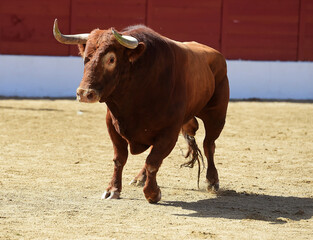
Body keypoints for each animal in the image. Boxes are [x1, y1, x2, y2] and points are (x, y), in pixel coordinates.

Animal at [53, 19, 229, 202]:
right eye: (85, 57)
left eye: (111, 59)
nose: (84, 93)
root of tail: (217, 55)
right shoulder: (113, 125)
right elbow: (120, 159)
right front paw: (113, 189)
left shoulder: (169, 131)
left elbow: (153, 161)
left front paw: (152, 193)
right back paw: (139, 178)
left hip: (216, 114)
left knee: (209, 144)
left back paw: (212, 180)